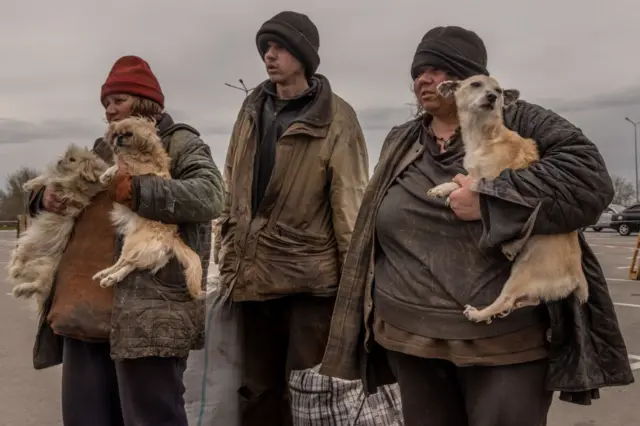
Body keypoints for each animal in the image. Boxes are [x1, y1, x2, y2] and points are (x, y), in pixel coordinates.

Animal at [8, 144, 109, 310]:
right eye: (65, 156)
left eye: (72, 159)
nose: (59, 161)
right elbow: (46, 178)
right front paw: (29, 184)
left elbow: (58, 180)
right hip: (26, 245)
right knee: (20, 260)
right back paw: (16, 274)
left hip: (47, 269)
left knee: (39, 284)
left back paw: (19, 286)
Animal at [92, 117, 205, 300]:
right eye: (115, 134)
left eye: (128, 134)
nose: (118, 138)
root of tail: (171, 238)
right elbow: (116, 165)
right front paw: (106, 174)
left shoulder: (134, 171)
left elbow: (120, 166)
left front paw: (109, 173)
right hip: (141, 251)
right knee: (129, 265)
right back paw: (109, 277)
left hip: (132, 243)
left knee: (124, 262)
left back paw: (107, 275)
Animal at [428, 75, 588, 322]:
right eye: (475, 84)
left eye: (499, 91)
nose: (492, 97)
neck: (484, 135)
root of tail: (576, 277)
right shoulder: (473, 172)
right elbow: (460, 179)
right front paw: (442, 188)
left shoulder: (490, 179)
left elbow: (472, 184)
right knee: (529, 300)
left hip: (521, 273)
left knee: (505, 299)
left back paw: (480, 313)